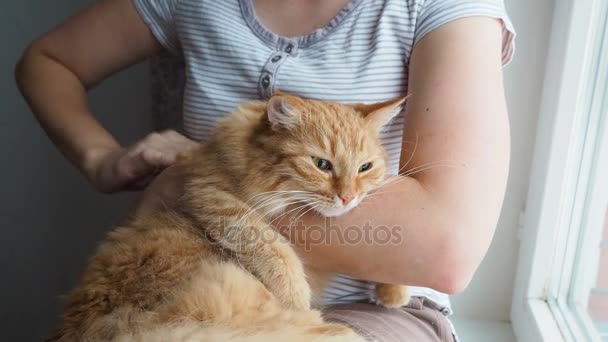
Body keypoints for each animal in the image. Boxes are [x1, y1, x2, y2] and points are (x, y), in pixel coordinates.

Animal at [54, 93, 410, 342]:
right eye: (321, 165)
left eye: (365, 167)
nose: (348, 197)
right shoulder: (213, 195)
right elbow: (273, 249)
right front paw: (296, 297)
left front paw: (393, 292)